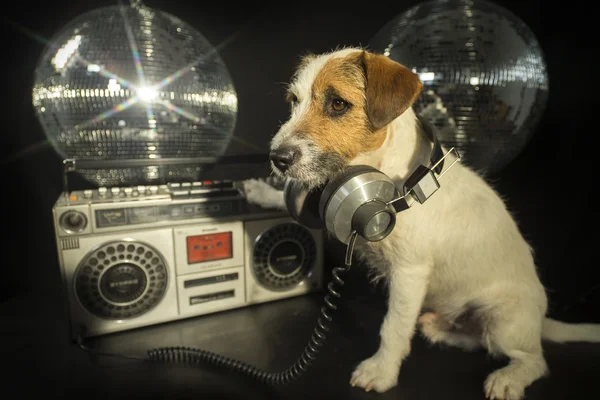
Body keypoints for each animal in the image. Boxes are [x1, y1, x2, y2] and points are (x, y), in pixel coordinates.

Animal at [241, 48, 596, 398]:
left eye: (338, 103)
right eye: (293, 101)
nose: (277, 158)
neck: (391, 187)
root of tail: (540, 321)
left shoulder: (409, 274)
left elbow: (394, 327)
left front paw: (382, 371)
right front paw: (262, 191)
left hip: (503, 320)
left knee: (533, 359)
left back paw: (509, 378)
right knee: (477, 340)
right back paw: (439, 329)